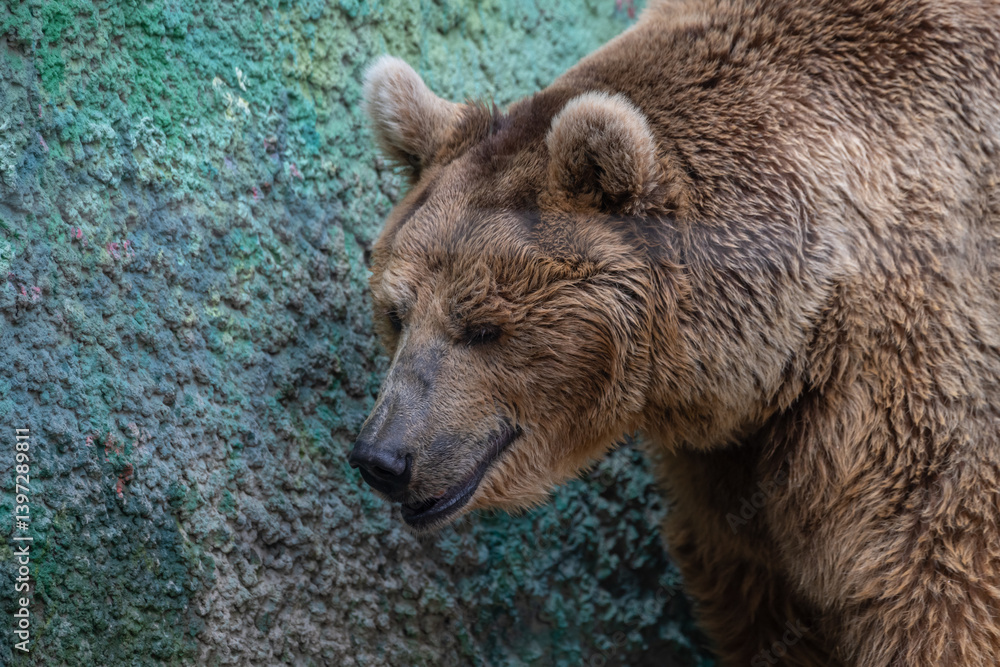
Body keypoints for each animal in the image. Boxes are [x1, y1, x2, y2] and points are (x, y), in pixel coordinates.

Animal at [348, 0, 1000, 664]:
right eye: (397, 314)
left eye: (483, 327)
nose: (382, 457)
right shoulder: (731, 472)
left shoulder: (908, 378)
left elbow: (935, 581)